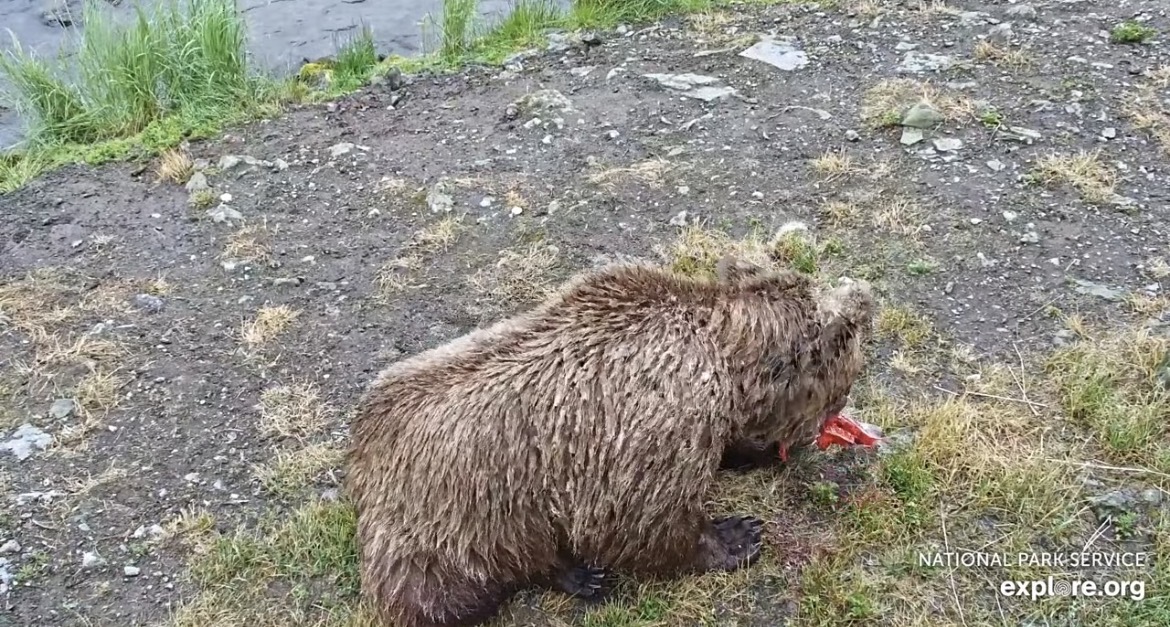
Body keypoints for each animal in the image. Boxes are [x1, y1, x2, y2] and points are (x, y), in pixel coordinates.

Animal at [344, 255, 876, 627]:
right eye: (841, 387)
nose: (825, 433)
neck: (726, 360)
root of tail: (362, 456)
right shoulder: (656, 423)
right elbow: (637, 519)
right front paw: (734, 536)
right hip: (450, 528)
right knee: (455, 594)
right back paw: (573, 572)